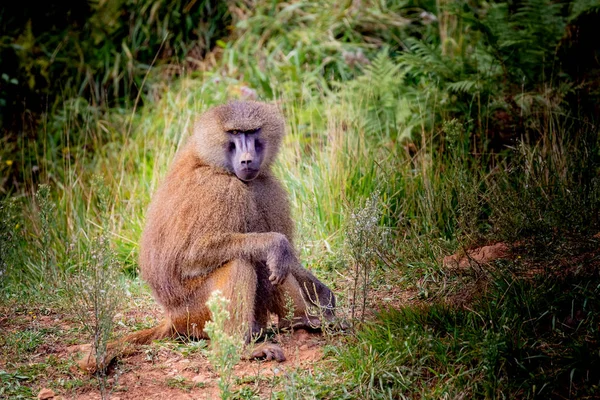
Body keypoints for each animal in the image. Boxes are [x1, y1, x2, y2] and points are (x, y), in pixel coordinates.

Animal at [77, 100, 336, 372]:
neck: (212, 161)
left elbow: (287, 257)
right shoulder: (222, 190)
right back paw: (241, 348)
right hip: (195, 313)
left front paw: (322, 295)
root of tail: (171, 318)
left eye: (252, 131)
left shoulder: (266, 186)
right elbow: (194, 255)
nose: (247, 160)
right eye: (235, 133)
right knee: (241, 262)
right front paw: (276, 244)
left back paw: (302, 321)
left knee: (267, 262)